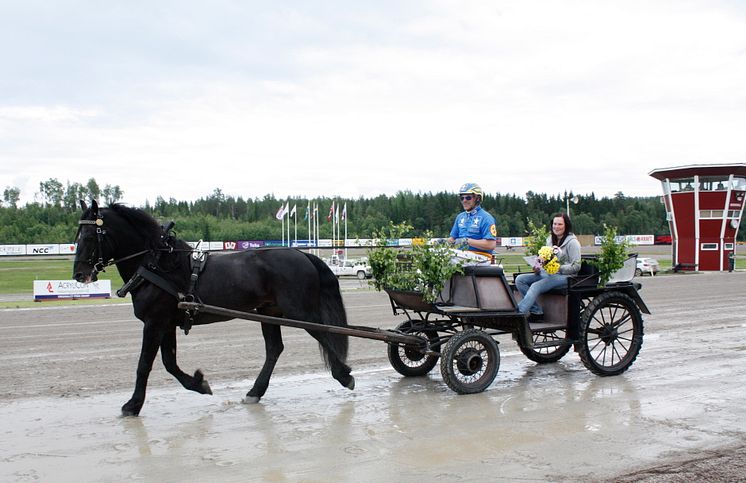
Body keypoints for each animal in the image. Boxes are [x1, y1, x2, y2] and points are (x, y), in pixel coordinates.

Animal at [74, 200, 354, 416]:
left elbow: (145, 364)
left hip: (298, 311)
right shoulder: (166, 323)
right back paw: (255, 391)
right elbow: (169, 363)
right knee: (274, 349)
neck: (156, 264)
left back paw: (343, 374)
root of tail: (302, 254)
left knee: (324, 333)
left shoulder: (154, 322)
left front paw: (132, 405)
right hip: (269, 312)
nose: (79, 274)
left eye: (88, 237)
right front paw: (198, 383)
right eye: (77, 236)